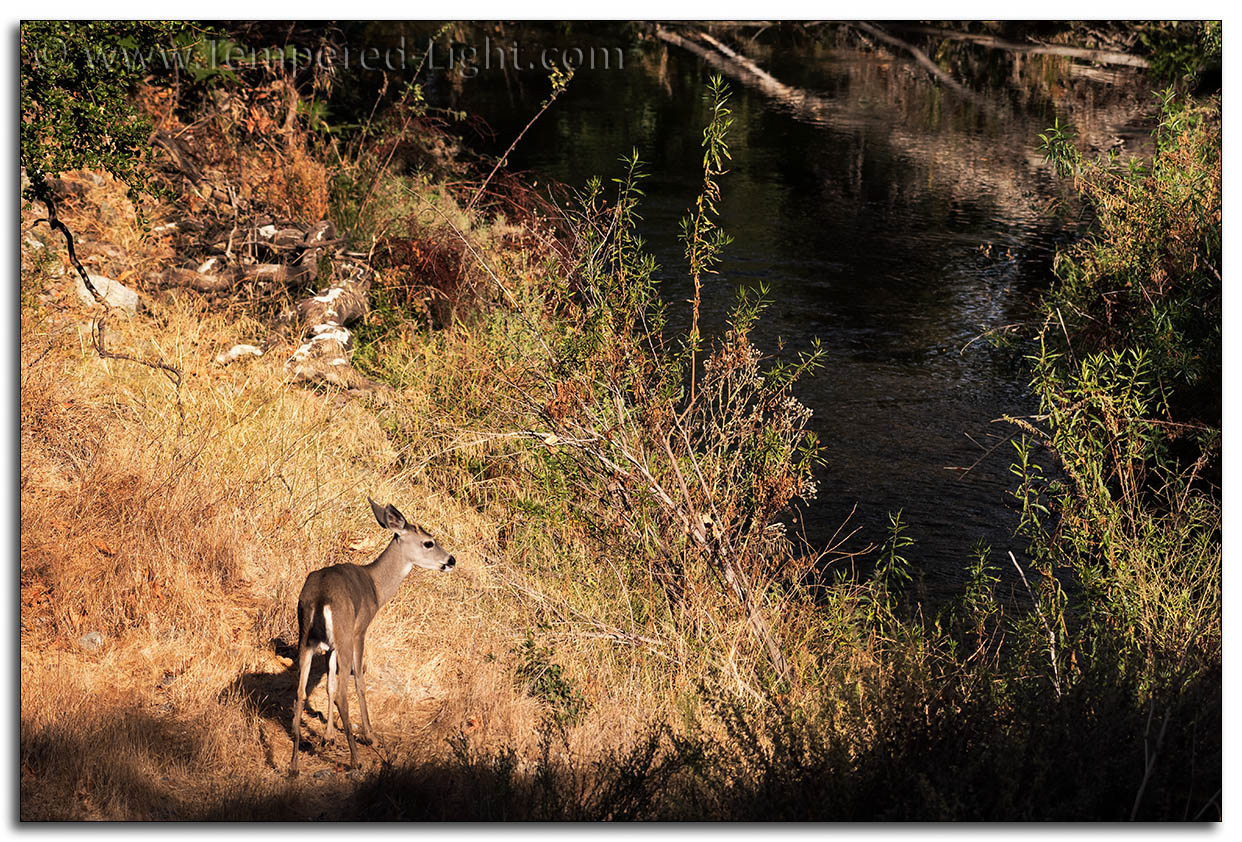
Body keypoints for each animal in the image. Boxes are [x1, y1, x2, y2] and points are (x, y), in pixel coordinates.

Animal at [289, 497, 456, 777]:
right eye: (429, 542)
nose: (451, 560)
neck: (376, 587)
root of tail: (321, 598)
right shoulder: (360, 630)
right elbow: (359, 681)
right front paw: (370, 735)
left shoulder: (330, 646)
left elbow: (329, 685)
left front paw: (328, 736)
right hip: (344, 635)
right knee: (344, 692)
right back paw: (356, 759)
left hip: (306, 640)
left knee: (301, 692)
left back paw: (293, 766)